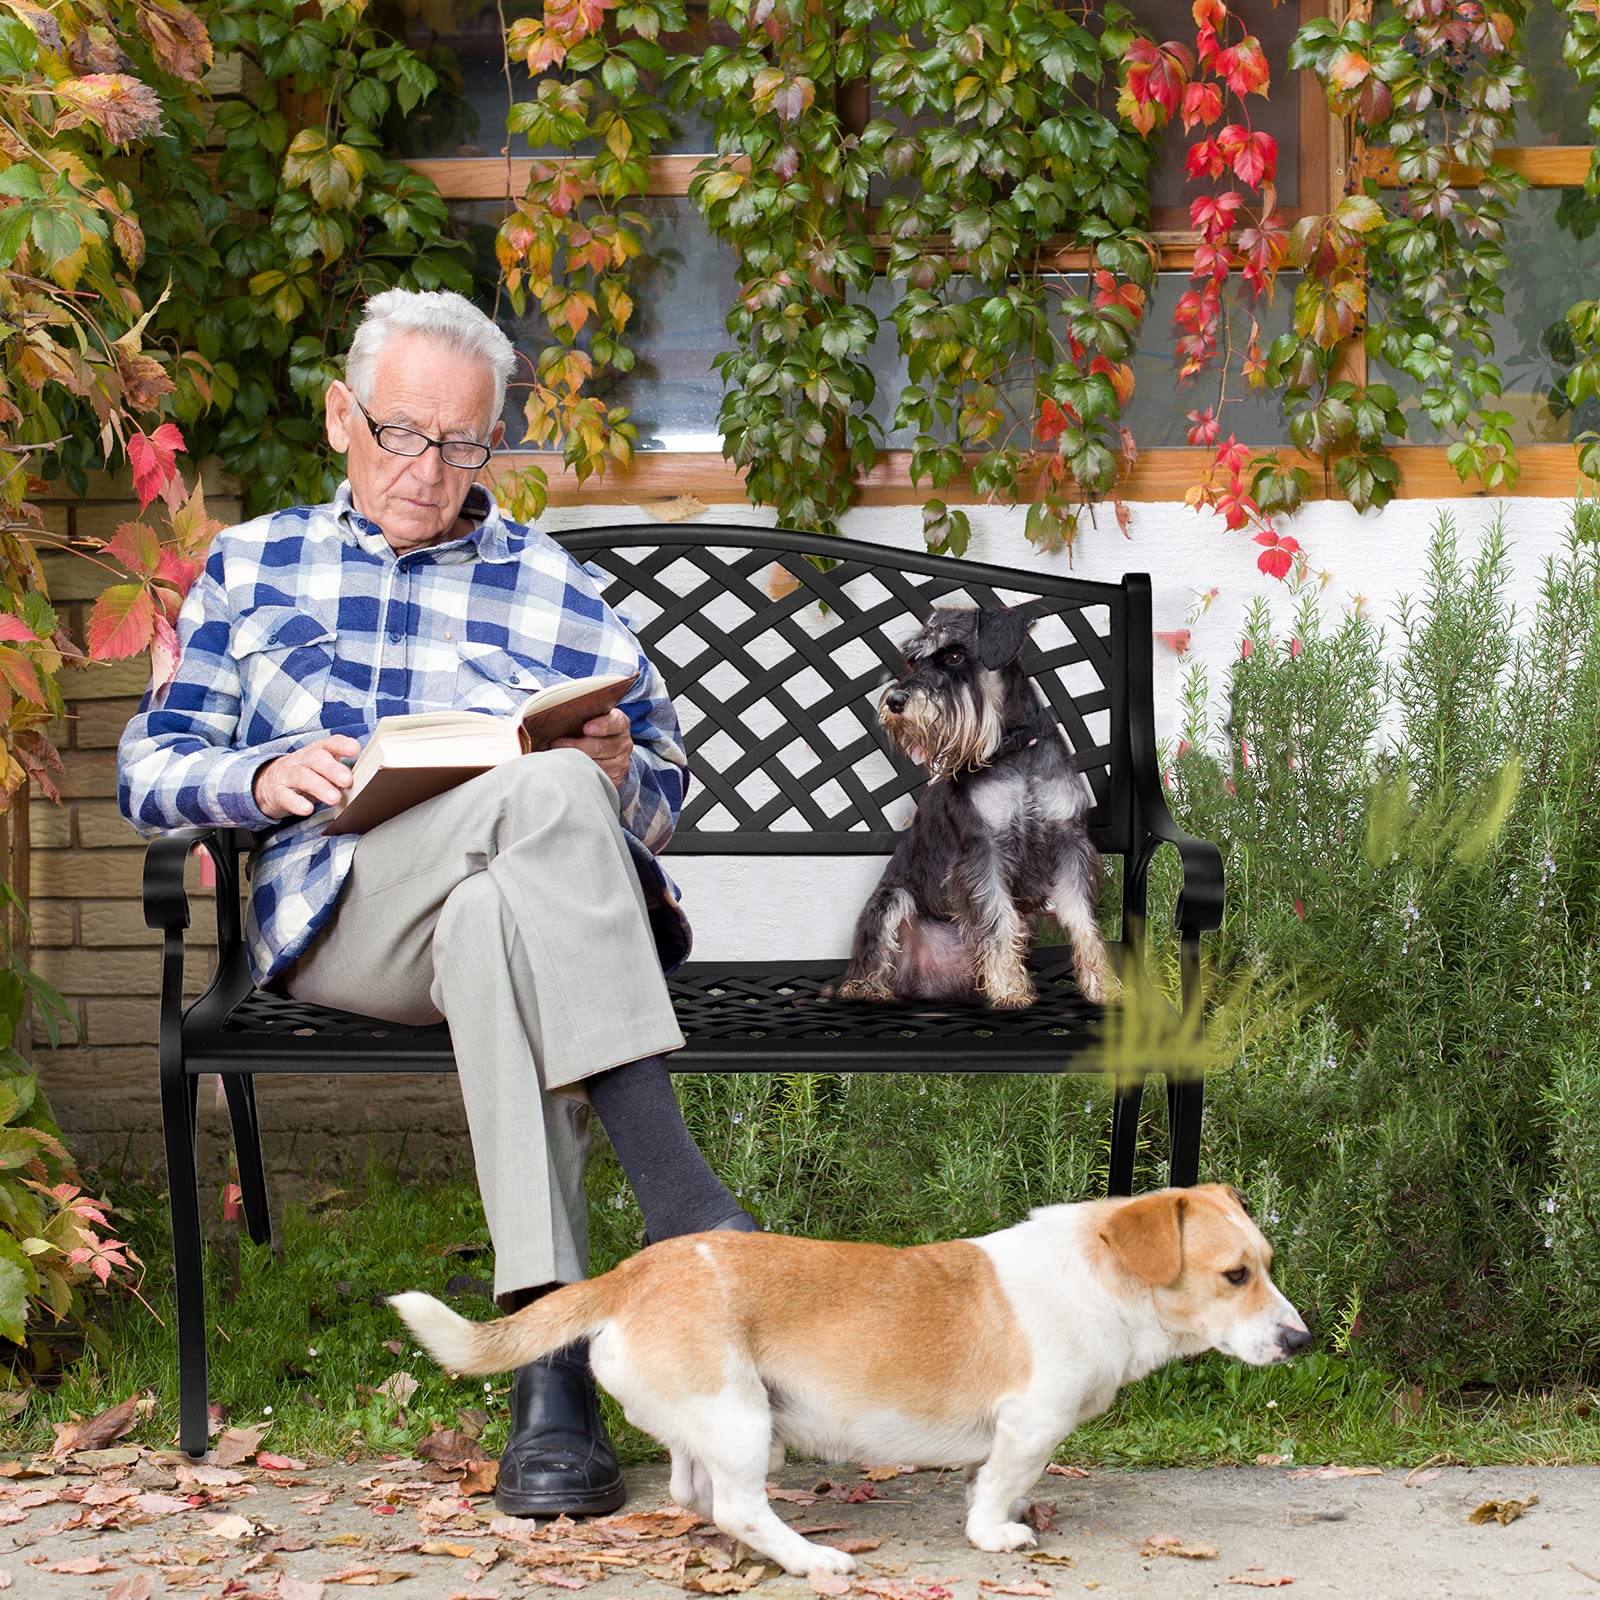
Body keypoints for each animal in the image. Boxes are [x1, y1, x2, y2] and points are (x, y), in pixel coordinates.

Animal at [390, 1190, 1312, 1574]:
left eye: (1267, 1264)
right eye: (1234, 1276)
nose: (1302, 1341)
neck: (1104, 1274)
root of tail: (629, 1275)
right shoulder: (1030, 1425)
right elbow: (996, 1489)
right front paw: (997, 1534)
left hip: (718, 1420)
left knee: (694, 1491)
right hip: (741, 1420)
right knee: (737, 1506)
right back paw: (813, 1560)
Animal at [838, 604, 1113, 1004]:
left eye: (954, 656)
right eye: (913, 660)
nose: (895, 702)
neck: (1014, 750)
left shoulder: (1069, 841)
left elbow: (1082, 920)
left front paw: (1104, 986)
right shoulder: (983, 848)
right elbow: (996, 920)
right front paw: (1010, 990)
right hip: (891, 900)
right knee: (871, 958)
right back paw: (867, 987)